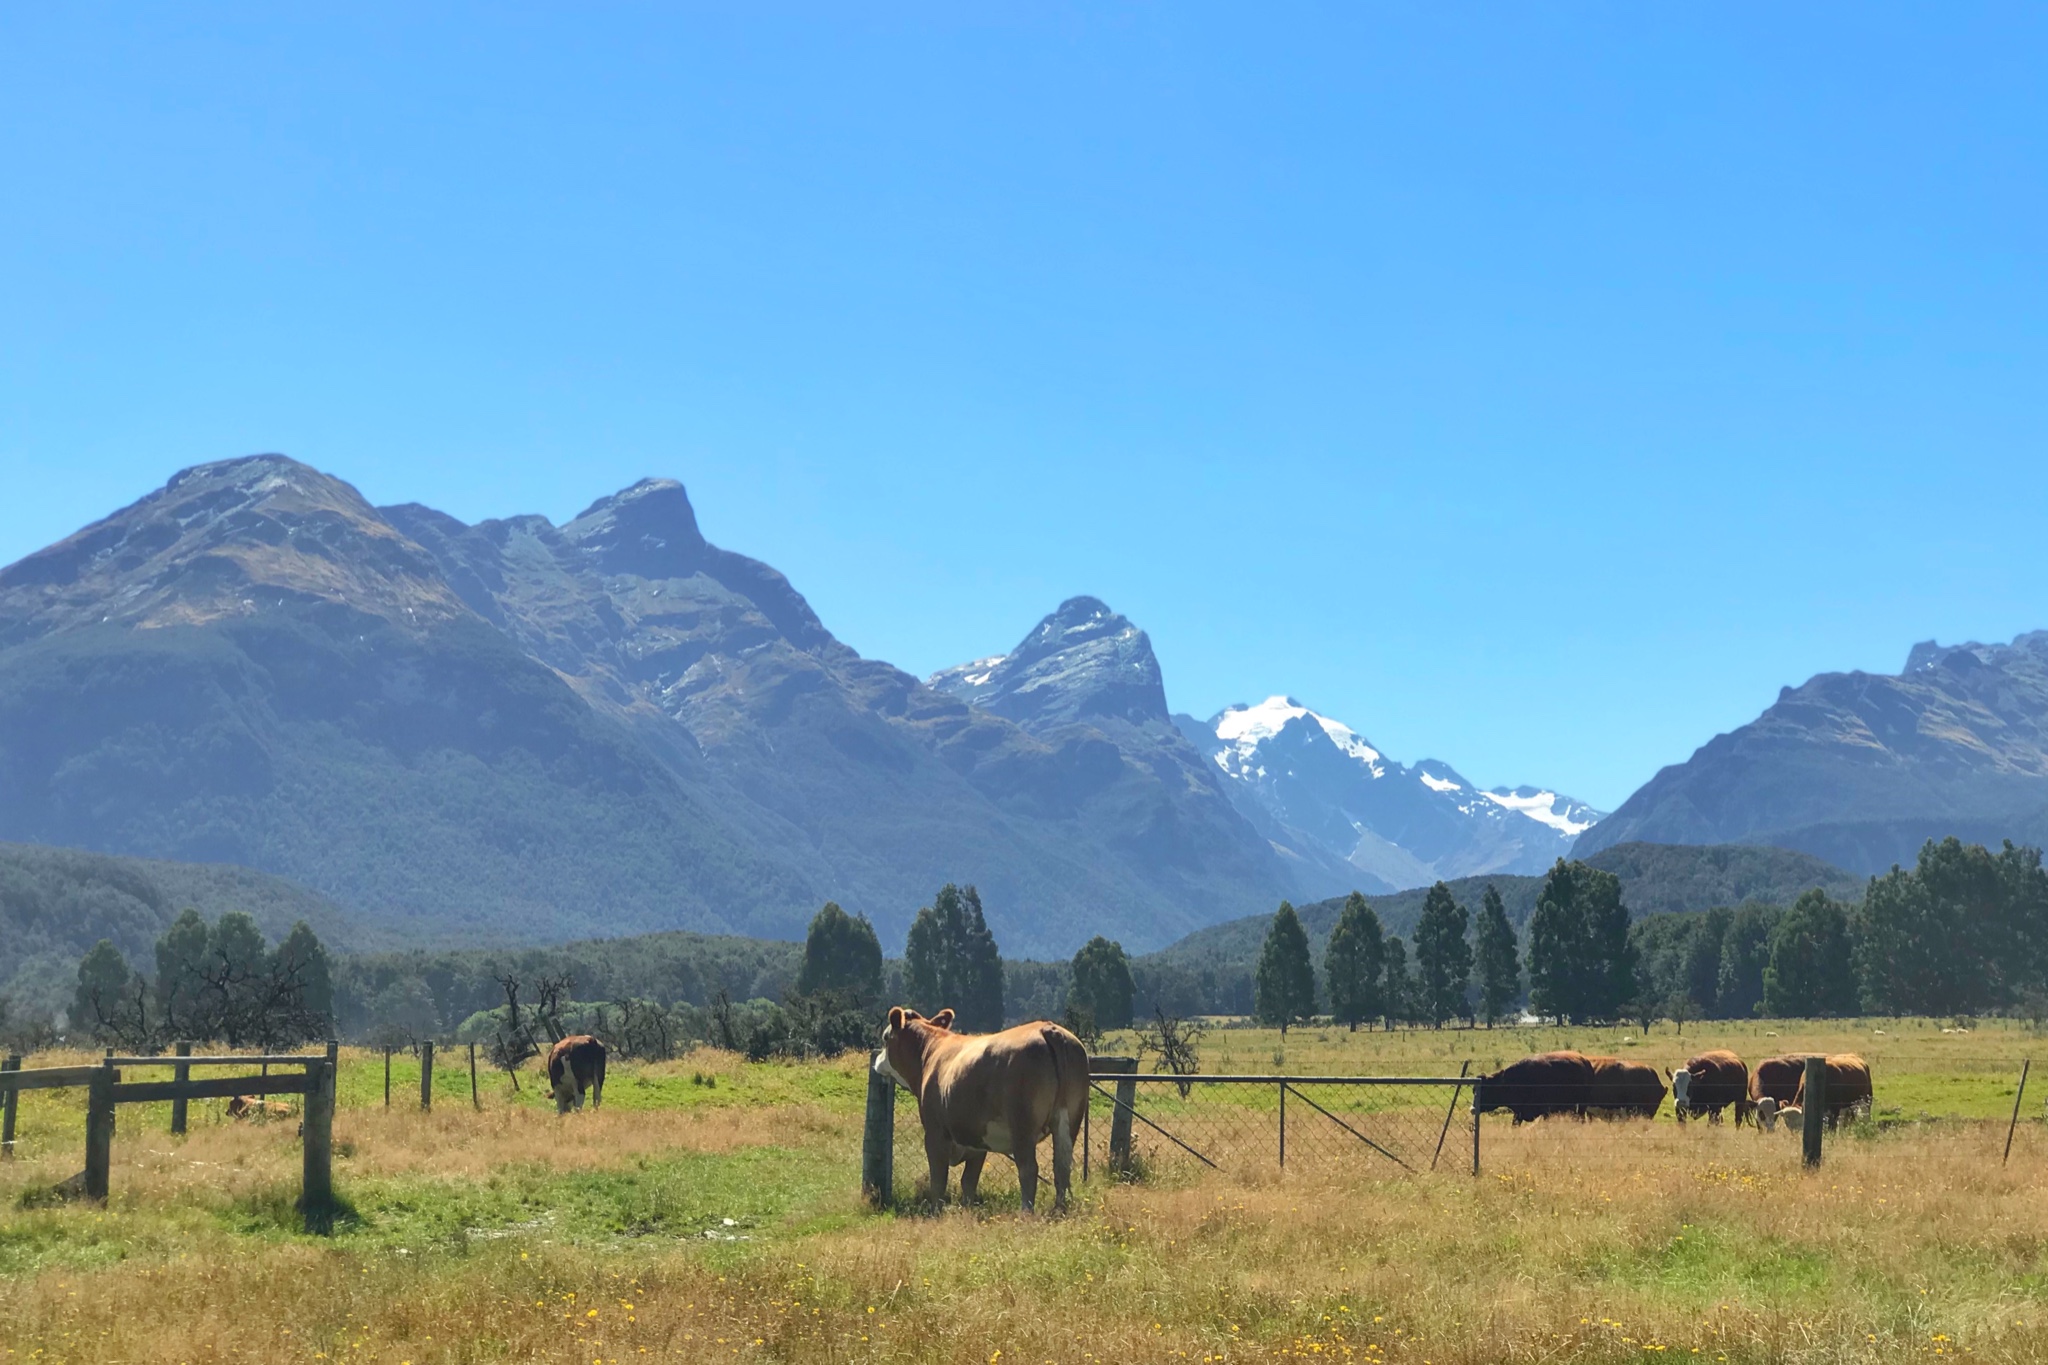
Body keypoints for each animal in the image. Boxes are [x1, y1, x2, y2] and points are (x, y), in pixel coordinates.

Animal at [868, 1002, 1089, 1219]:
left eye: (885, 1037)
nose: (877, 1062)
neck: (930, 1054)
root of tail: (1048, 1028)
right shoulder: (977, 1142)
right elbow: (968, 1181)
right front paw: (966, 1211)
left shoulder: (934, 1133)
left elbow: (938, 1178)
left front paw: (935, 1213)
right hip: (1069, 1120)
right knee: (1062, 1167)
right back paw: (1059, 1211)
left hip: (1022, 1126)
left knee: (1029, 1168)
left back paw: (1026, 1213)